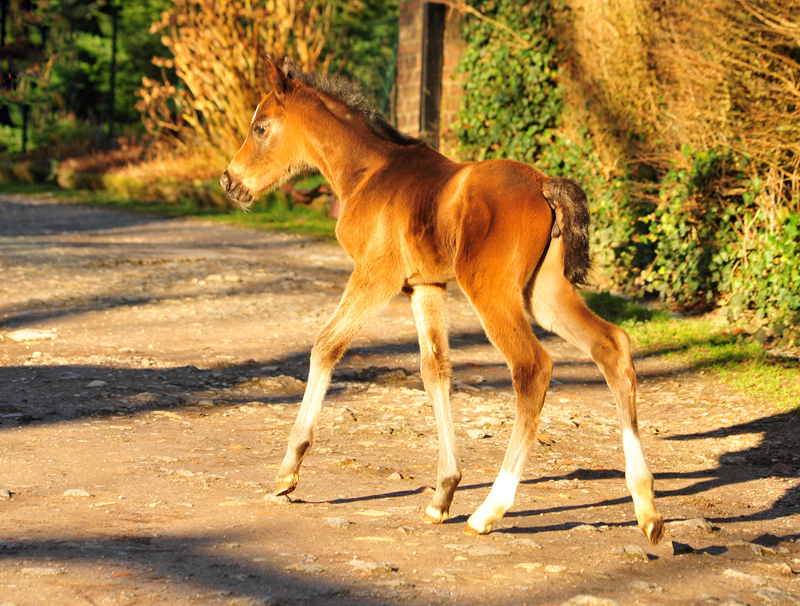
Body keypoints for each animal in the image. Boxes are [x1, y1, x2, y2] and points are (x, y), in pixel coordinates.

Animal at [222, 58, 664, 548]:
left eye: (260, 127)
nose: (229, 181)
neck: (369, 173)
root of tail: (544, 183)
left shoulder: (376, 275)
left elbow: (327, 345)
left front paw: (288, 472)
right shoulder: (425, 286)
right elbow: (435, 370)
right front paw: (443, 493)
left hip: (490, 290)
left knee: (532, 367)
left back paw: (490, 510)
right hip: (544, 292)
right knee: (612, 345)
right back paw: (647, 510)